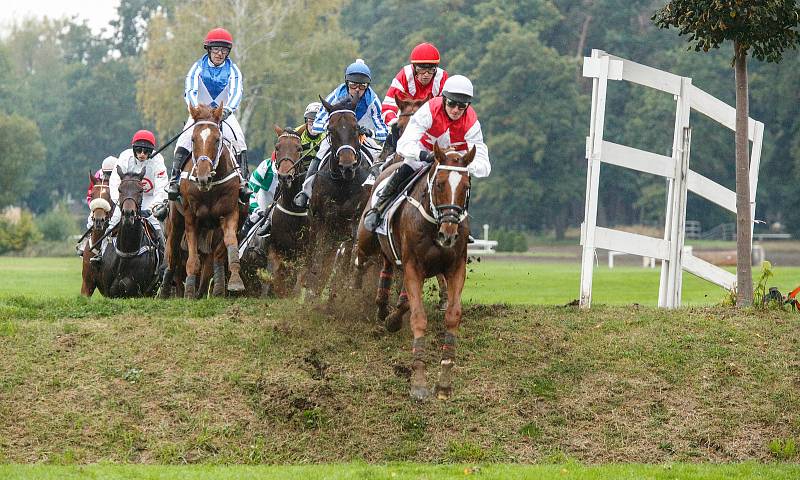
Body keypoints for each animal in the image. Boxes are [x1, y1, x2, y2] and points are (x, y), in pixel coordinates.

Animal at [159, 103, 241, 298]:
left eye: (217, 140)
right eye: (193, 139)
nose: (203, 177)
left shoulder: (230, 212)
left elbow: (230, 244)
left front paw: (235, 281)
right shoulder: (191, 217)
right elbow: (192, 260)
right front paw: (189, 291)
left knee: (214, 257)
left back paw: (215, 289)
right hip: (176, 221)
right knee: (172, 254)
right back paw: (165, 290)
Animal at [356, 143, 476, 402]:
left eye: (466, 186)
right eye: (439, 184)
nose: (448, 233)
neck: (433, 224)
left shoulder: (455, 268)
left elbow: (453, 315)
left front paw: (444, 382)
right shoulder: (413, 266)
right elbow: (418, 318)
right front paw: (419, 383)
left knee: (388, 265)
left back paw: (385, 308)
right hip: (366, 236)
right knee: (360, 254)